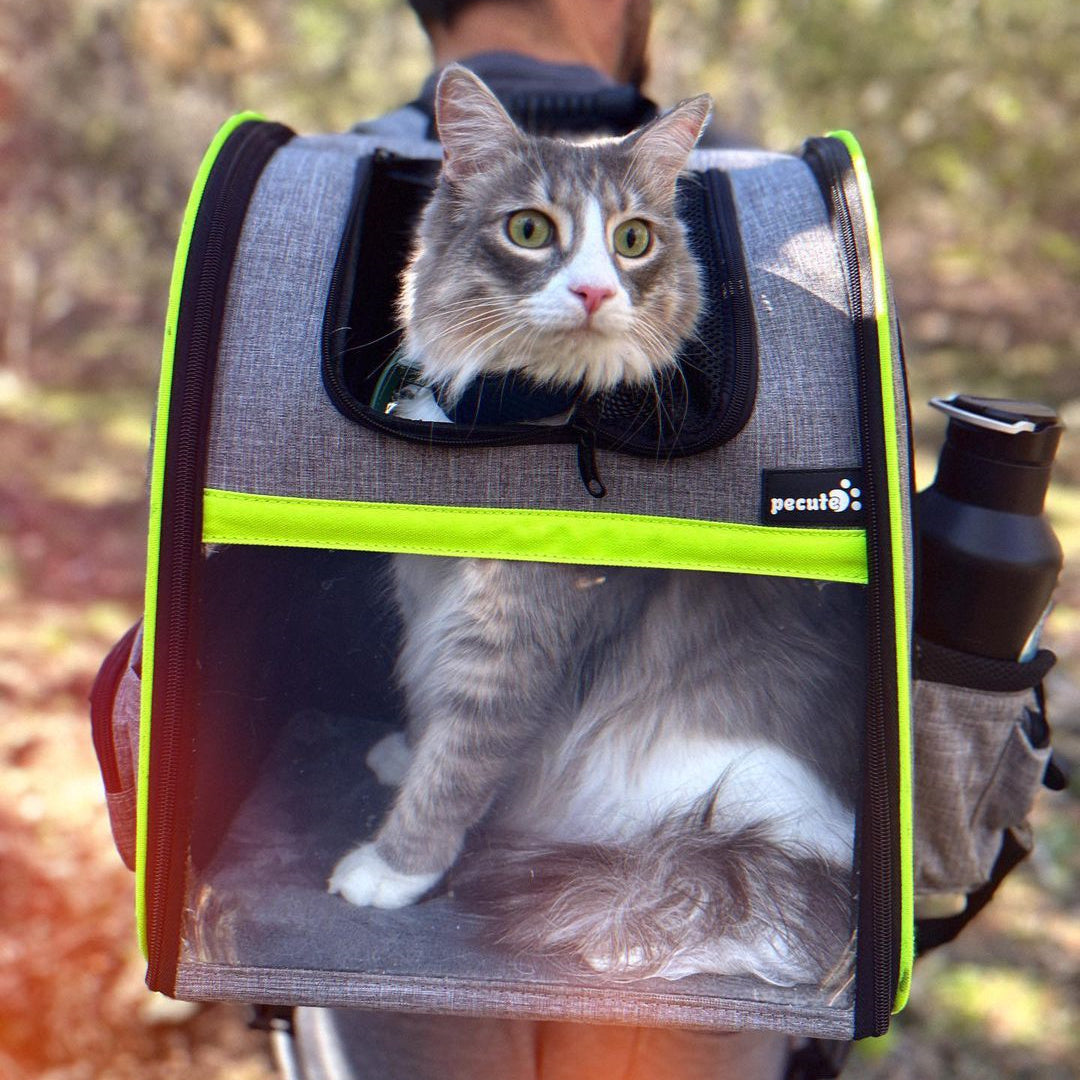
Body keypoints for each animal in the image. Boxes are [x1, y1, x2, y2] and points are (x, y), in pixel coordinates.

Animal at [326, 67, 859, 989]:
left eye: (633, 240)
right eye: (530, 230)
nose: (595, 290)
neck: (509, 414)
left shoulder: (520, 641)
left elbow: (459, 761)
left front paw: (394, 867)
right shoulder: (435, 601)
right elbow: (433, 713)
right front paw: (404, 753)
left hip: (738, 792)